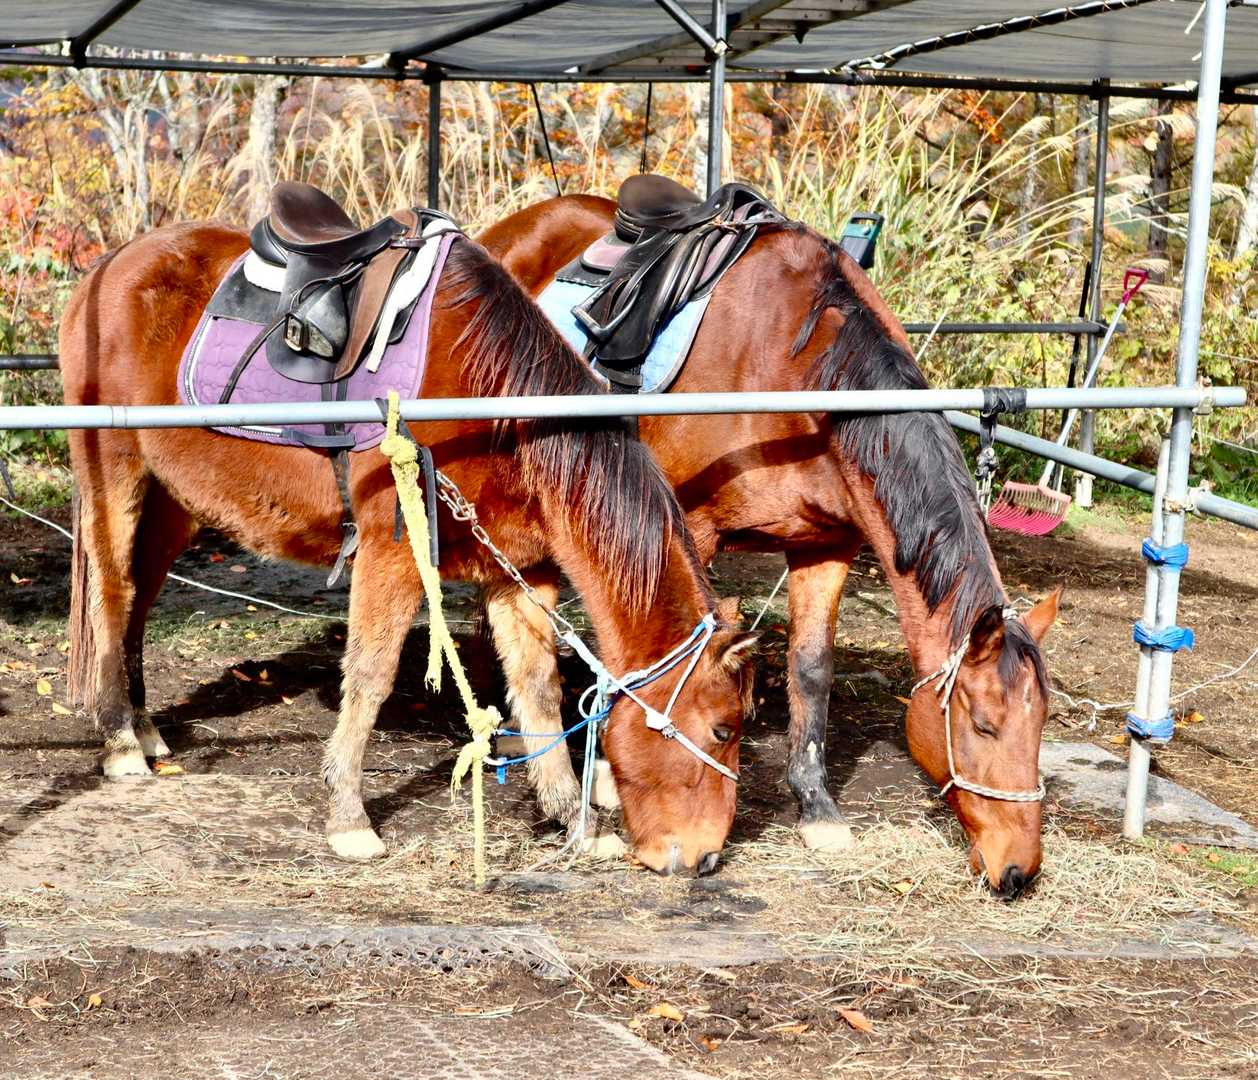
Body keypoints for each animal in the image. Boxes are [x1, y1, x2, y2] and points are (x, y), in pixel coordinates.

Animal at [58, 219, 758, 876]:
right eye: (722, 728)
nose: (705, 858)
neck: (501, 406)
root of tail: (110, 267)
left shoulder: (519, 569)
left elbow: (538, 688)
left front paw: (573, 821)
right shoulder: (391, 554)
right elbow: (370, 677)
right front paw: (348, 818)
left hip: (174, 497)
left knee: (140, 597)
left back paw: (145, 729)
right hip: (114, 471)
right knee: (112, 594)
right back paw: (121, 741)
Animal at [478, 193, 1060, 897]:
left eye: (1042, 724)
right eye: (982, 725)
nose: (1018, 869)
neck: (802, 377)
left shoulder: (826, 545)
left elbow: (810, 671)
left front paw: (816, 808)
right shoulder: (688, 530)